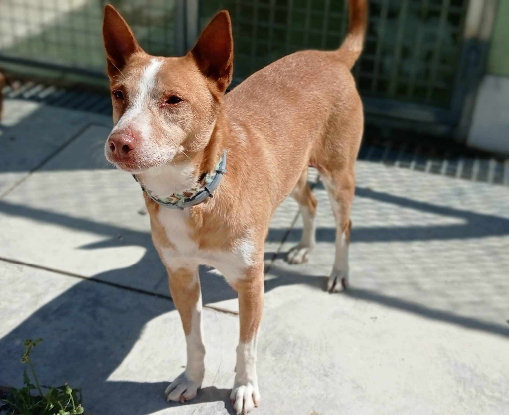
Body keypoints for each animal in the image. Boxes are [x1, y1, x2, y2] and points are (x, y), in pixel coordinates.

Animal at [102, 1, 366, 413]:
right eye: (118, 94)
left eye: (173, 100)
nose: (118, 143)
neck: (189, 197)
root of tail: (331, 56)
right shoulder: (181, 277)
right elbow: (193, 338)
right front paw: (192, 380)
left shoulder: (250, 283)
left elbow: (246, 346)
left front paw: (243, 387)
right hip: (290, 172)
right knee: (309, 202)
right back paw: (304, 247)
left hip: (338, 175)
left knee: (344, 225)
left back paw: (339, 272)